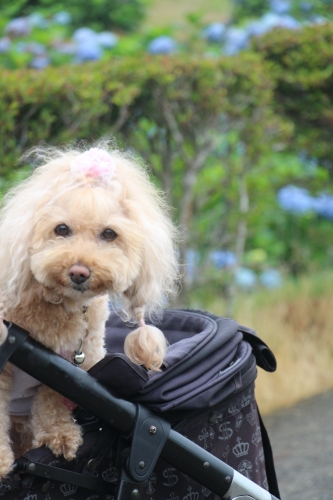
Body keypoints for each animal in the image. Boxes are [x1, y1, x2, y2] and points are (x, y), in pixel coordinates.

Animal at [0, 143, 179, 478]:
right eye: (61, 229)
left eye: (109, 234)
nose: (79, 272)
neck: (60, 305)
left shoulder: (74, 366)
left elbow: (52, 399)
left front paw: (61, 436)